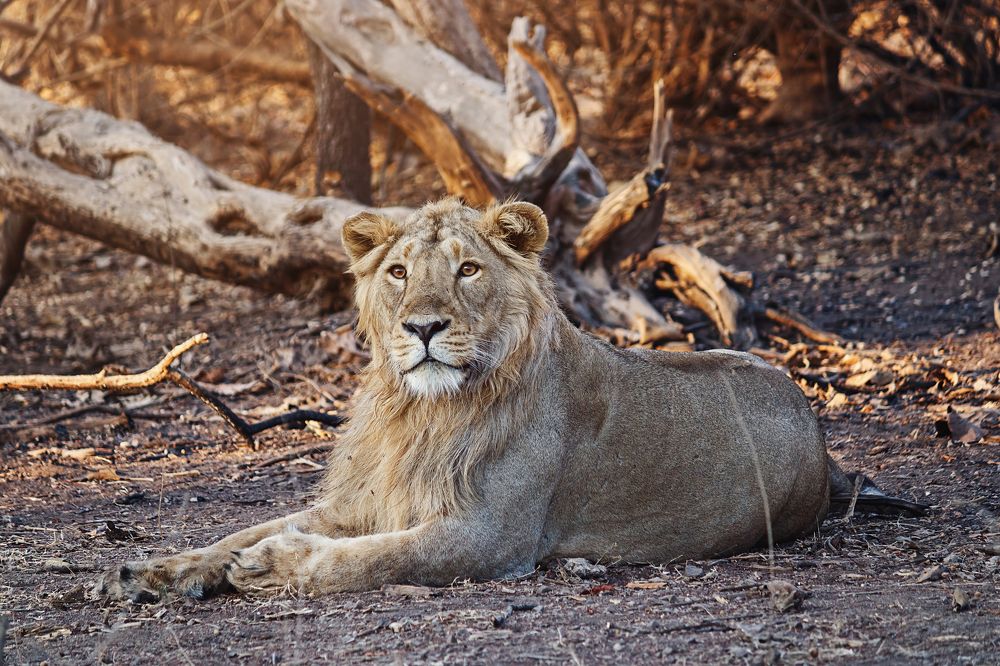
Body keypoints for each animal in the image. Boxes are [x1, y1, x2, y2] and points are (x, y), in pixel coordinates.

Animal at [92, 198, 912, 602]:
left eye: (467, 270)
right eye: (398, 272)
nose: (423, 327)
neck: (419, 411)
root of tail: (819, 433)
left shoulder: (489, 534)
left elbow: (371, 561)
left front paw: (272, 565)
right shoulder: (365, 499)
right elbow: (237, 529)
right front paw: (152, 571)